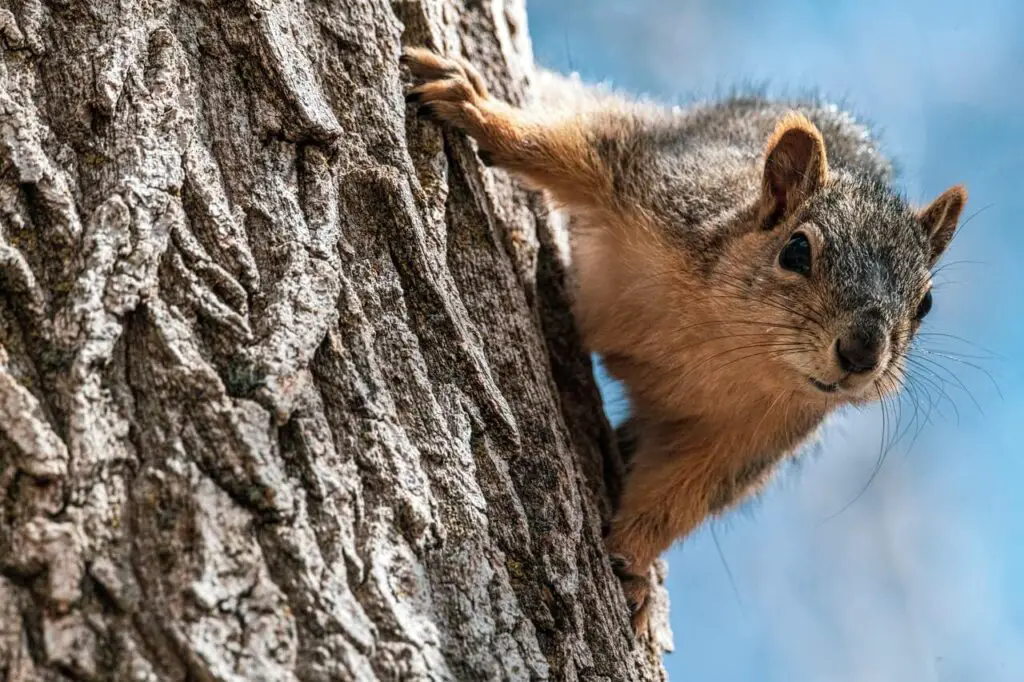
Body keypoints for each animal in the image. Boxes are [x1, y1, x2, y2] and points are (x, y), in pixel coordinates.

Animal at [401, 47, 967, 635]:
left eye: (925, 303)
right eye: (795, 251)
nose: (862, 353)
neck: (723, 338)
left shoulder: (753, 438)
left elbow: (680, 498)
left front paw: (631, 565)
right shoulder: (662, 181)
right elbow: (566, 147)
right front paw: (477, 108)